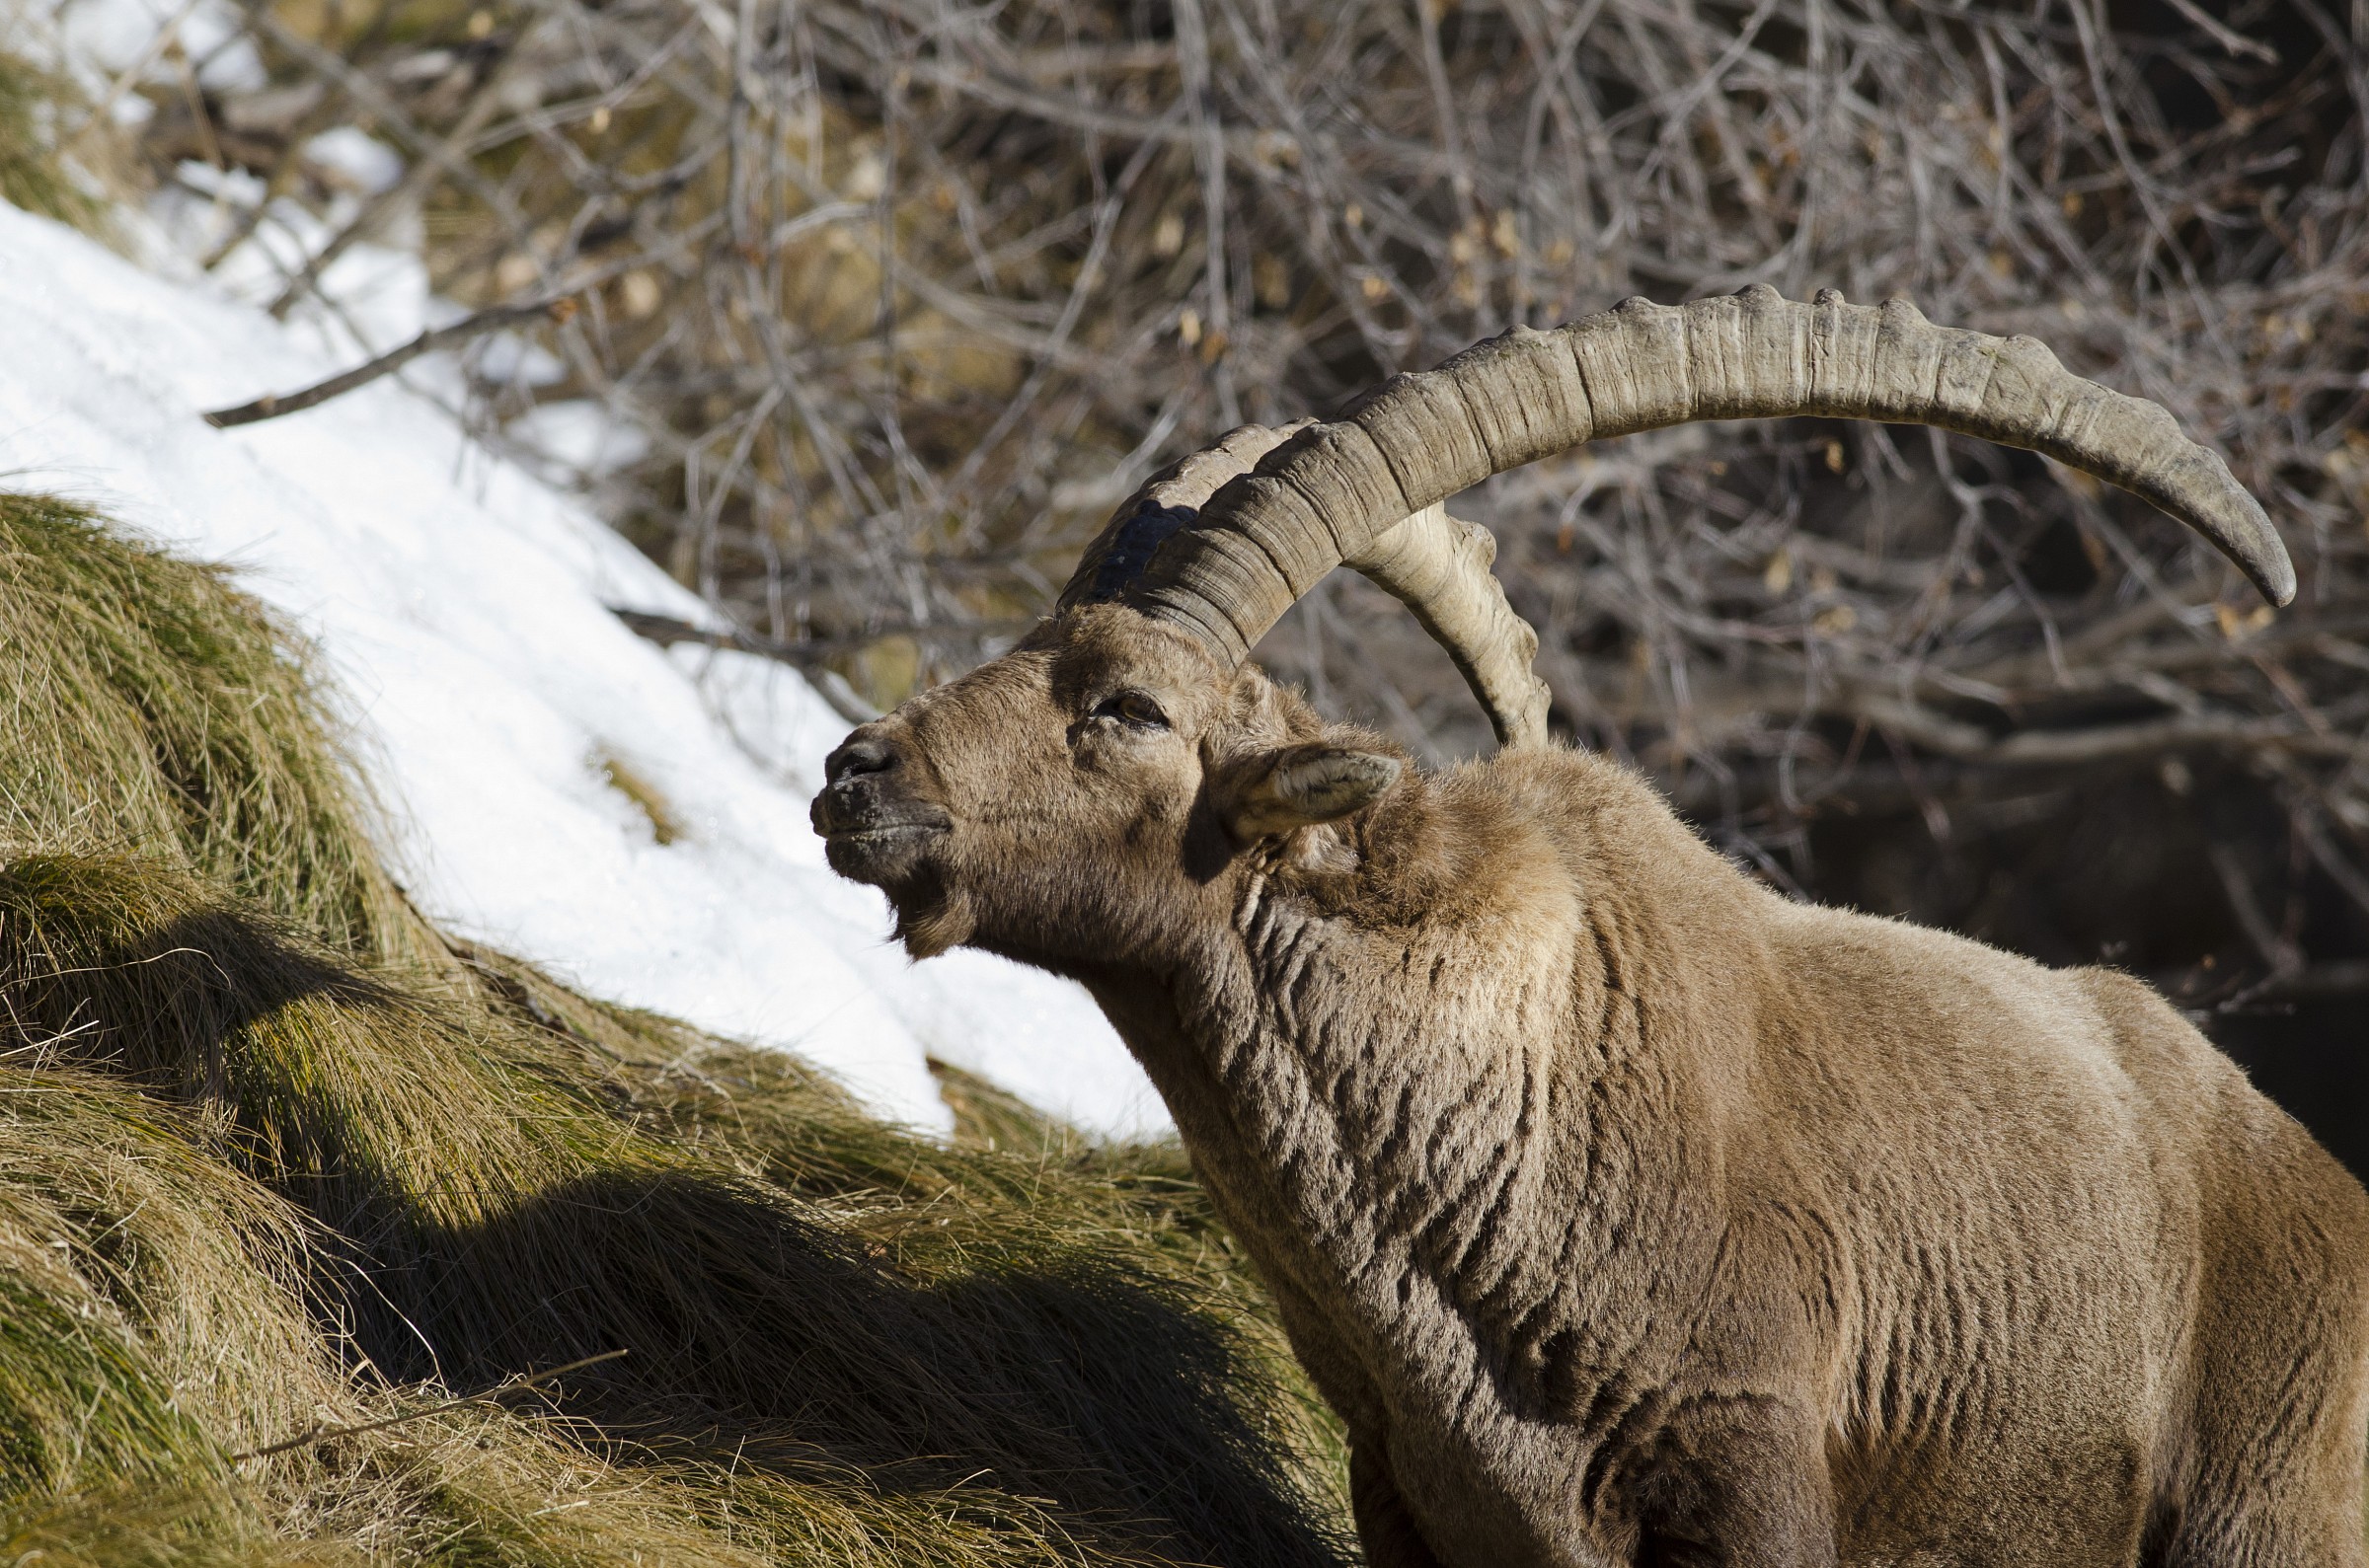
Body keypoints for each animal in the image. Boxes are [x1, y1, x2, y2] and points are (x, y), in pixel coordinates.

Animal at [812, 286, 2369, 1567]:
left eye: (1132, 705)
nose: (858, 773)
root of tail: (2312, 1170)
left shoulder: (1752, 1470)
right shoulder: (1411, 1504)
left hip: (2265, 1517)